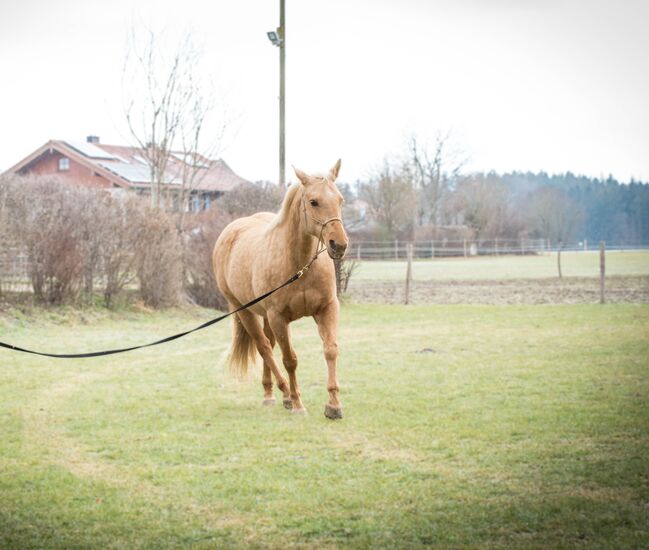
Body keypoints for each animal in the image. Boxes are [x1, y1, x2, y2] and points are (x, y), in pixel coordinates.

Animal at [213, 162, 350, 420]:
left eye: (340, 200)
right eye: (313, 202)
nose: (339, 245)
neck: (301, 266)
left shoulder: (327, 308)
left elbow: (330, 350)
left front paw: (334, 405)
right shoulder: (279, 318)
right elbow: (290, 360)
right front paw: (298, 404)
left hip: (266, 317)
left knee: (269, 345)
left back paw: (273, 393)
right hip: (245, 312)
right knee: (264, 348)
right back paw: (283, 393)